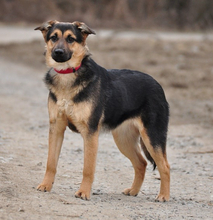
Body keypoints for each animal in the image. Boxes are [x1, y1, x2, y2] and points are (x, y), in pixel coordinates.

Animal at [35, 20, 171, 201]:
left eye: (71, 39)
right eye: (53, 37)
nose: (58, 52)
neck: (68, 75)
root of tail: (157, 84)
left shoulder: (90, 133)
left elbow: (88, 168)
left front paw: (84, 192)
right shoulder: (56, 128)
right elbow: (51, 162)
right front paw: (46, 185)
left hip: (152, 136)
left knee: (165, 166)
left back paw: (163, 196)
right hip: (123, 139)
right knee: (141, 163)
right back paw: (133, 191)